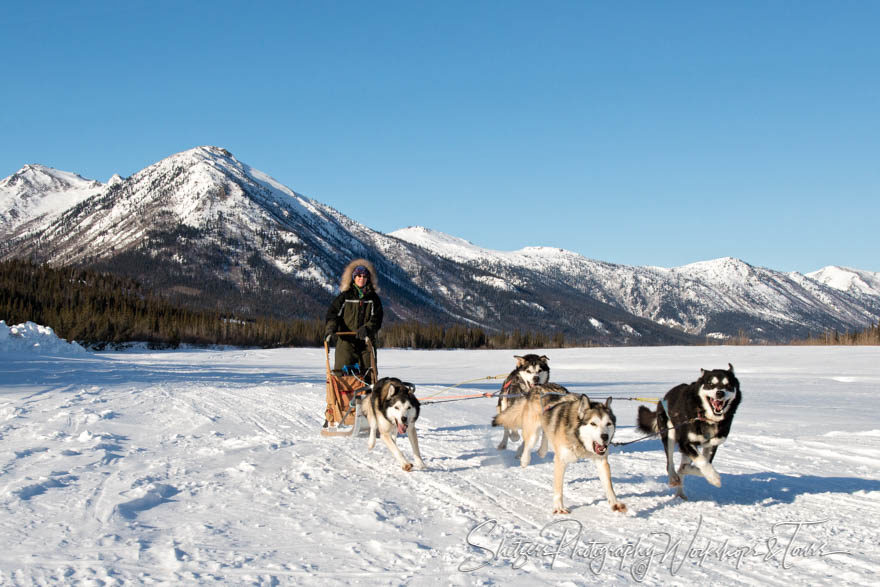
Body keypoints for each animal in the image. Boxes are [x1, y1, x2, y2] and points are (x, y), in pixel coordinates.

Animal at [640, 366, 744, 498]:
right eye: (710, 384)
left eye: (728, 385)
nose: (720, 393)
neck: (706, 418)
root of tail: (664, 398)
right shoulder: (686, 443)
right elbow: (702, 462)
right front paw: (714, 478)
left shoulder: (712, 444)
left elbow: (703, 464)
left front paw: (690, 470)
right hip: (669, 434)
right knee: (669, 463)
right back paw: (673, 478)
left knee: (682, 467)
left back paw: (680, 493)